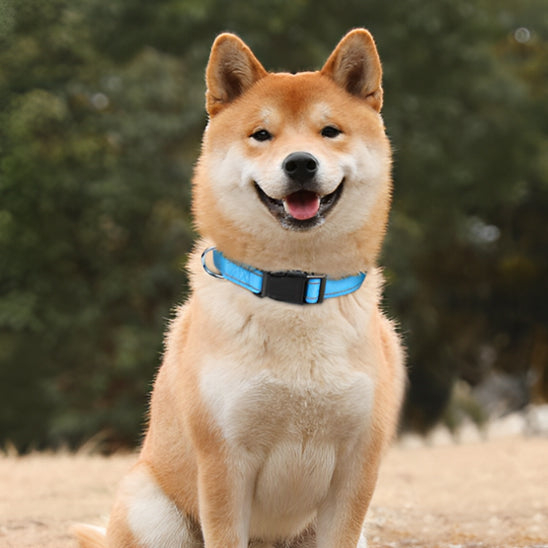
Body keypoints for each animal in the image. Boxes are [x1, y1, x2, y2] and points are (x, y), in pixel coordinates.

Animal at [75, 28, 404, 548]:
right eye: (261, 135)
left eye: (329, 131)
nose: (300, 163)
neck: (297, 292)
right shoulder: (225, 463)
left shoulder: (358, 467)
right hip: (154, 511)